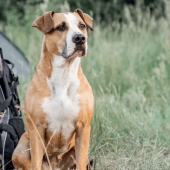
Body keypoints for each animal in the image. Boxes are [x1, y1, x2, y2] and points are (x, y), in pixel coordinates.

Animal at [11, 8, 94, 170]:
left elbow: (80, 162)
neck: (64, 74)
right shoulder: (37, 128)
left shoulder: (83, 128)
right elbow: (36, 162)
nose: (80, 38)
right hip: (22, 146)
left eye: (82, 26)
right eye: (61, 27)